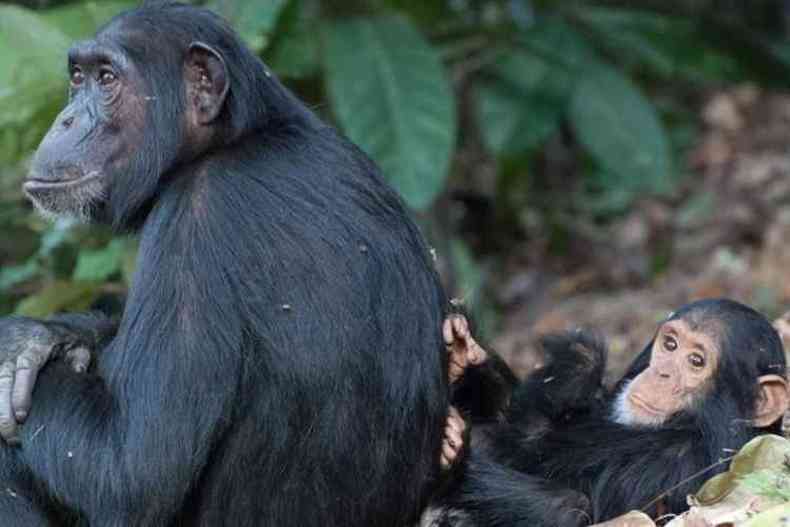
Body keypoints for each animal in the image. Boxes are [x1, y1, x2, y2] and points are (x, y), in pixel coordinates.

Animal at [0, 2, 452, 524]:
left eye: (107, 78)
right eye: (78, 77)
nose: (67, 118)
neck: (234, 140)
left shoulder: (197, 218)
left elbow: (131, 470)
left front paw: (12, 341)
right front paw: (46, 337)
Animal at [436, 300, 788, 524]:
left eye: (696, 361)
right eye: (670, 345)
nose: (661, 373)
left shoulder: (680, 466)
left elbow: (573, 509)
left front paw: (454, 453)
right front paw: (464, 354)